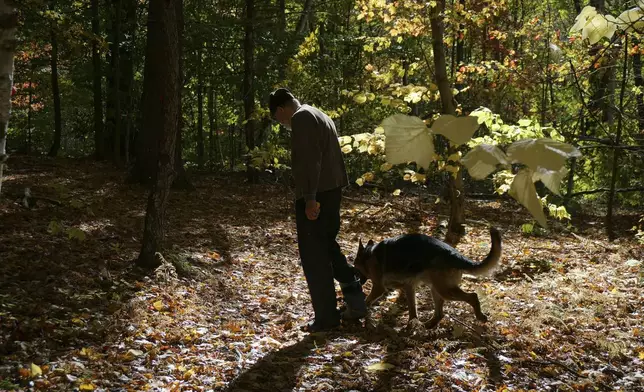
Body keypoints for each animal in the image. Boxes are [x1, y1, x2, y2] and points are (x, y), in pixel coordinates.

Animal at [352, 227, 504, 328]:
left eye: (354, 266)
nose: (358, 281)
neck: (369, 254)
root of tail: (455, 255)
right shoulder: (408, 286)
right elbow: (413, 310)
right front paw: (411, 325)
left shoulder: (379, 287)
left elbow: (367, 300)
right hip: (436, 289)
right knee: (439, 314)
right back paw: (427, 325)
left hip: (444, 290)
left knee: (472, 296)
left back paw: (480, 316)